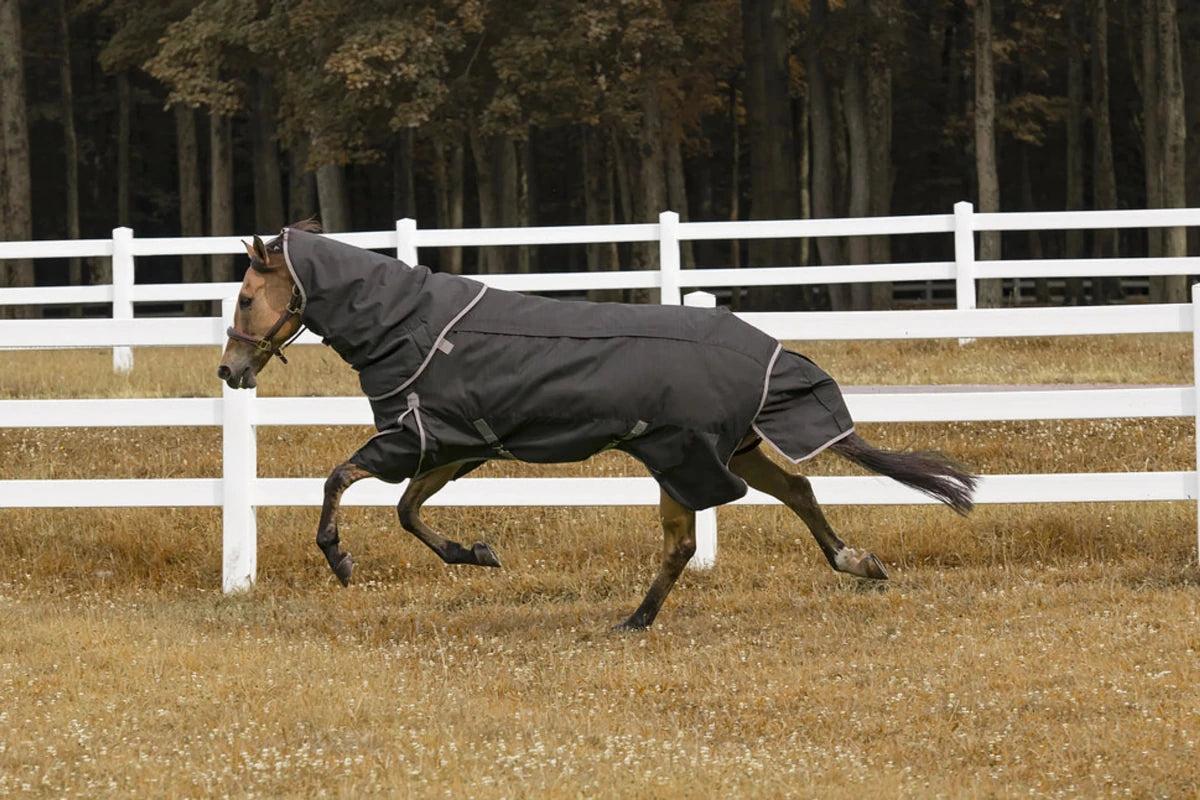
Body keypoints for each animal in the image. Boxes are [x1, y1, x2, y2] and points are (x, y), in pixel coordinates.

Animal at [217, 220, 976, 631]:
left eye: (248, 297)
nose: (229, 370)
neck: (410, 325)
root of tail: (769, 352)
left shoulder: (417, 439)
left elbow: (340, 480)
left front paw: (339, 557)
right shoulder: (458, 446)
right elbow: (407, 511)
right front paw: (478, 554)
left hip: (679, 456)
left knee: (686, 540)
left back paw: (636, 620)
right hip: (723, 450)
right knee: (794, 492)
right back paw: (856, 563)